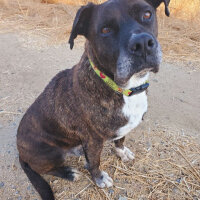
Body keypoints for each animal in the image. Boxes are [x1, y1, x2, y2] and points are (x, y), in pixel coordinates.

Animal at [16, 0, 170, 199]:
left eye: (147, 14)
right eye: (105, 30)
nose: (142, 43)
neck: (122, 89)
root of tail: (20, 151)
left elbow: (121, 139)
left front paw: (121, 152)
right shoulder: (94, 140)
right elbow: (95, 162)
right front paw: (99, 178)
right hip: (50, 153)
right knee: (46, 169)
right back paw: (69, 172)